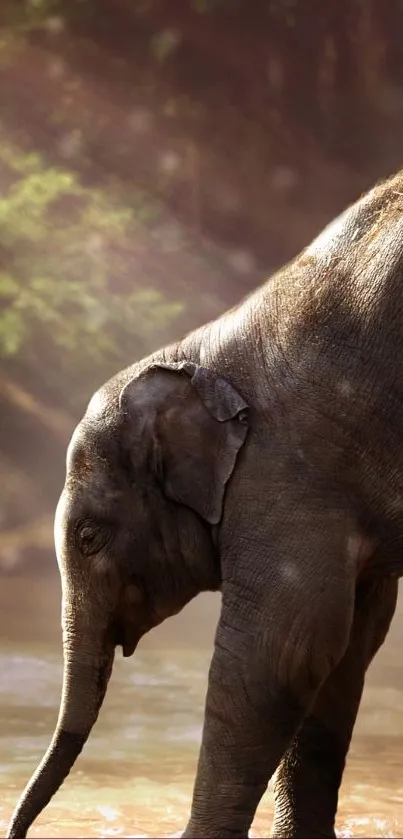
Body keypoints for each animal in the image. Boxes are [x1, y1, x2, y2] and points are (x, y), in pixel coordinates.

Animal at [5, 171, 403, 839]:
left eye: (89, 537)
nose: (18, 830)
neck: (199, 353)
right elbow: (345, 651)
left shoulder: (291, 471)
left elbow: (281, 651)